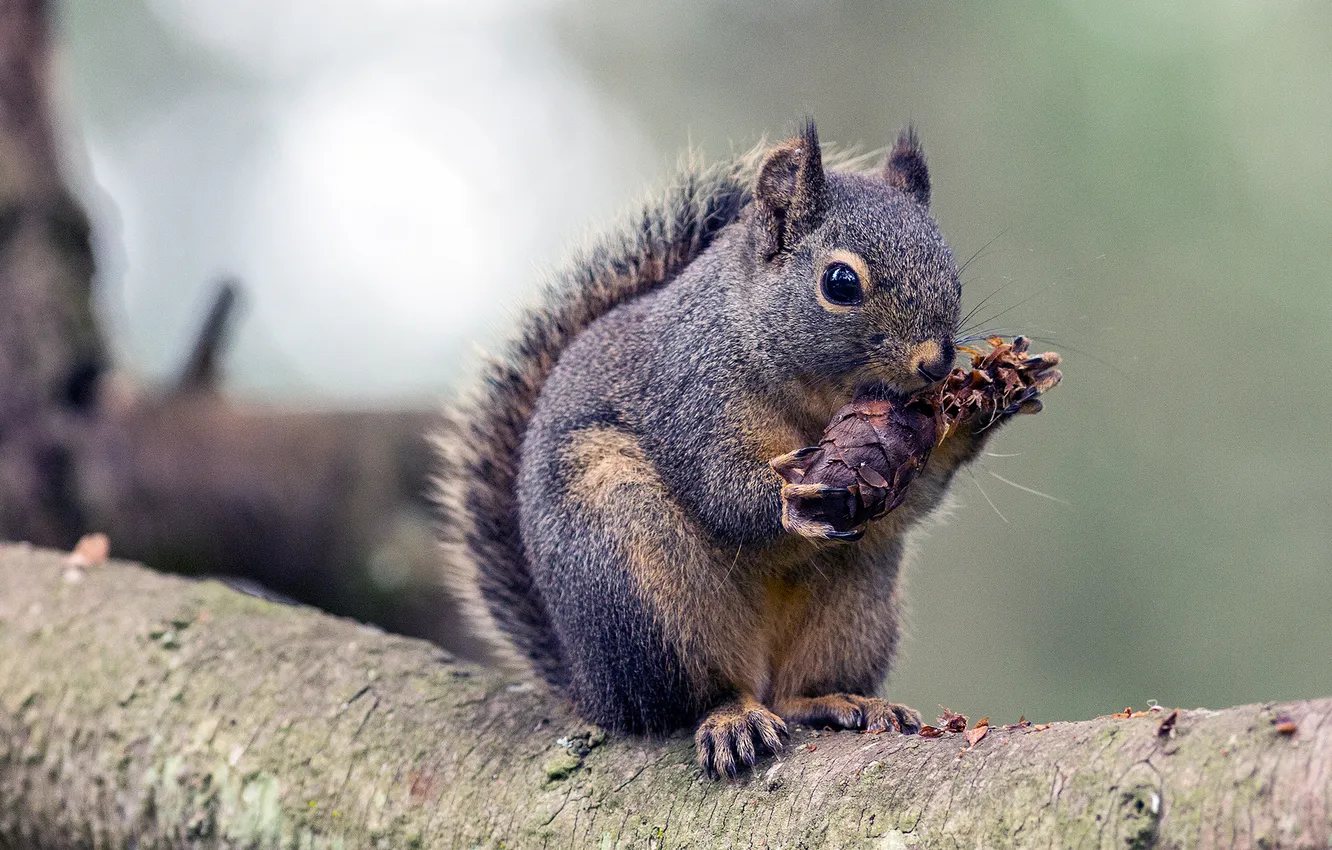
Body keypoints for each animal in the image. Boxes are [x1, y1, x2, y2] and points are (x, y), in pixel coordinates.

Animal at [436, 120, 1045, 778]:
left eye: (954, 278)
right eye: (840, 283)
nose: (936, 364)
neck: (818, 396)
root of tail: (590, 688)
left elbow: (912, 498)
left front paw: (988, 401)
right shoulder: (693, 392)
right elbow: (719, 489)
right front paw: (787, 499)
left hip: (860, 602)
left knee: (795, 689)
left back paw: (841, 701)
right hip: (635, 576)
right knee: (686, 701)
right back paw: (730, 717)